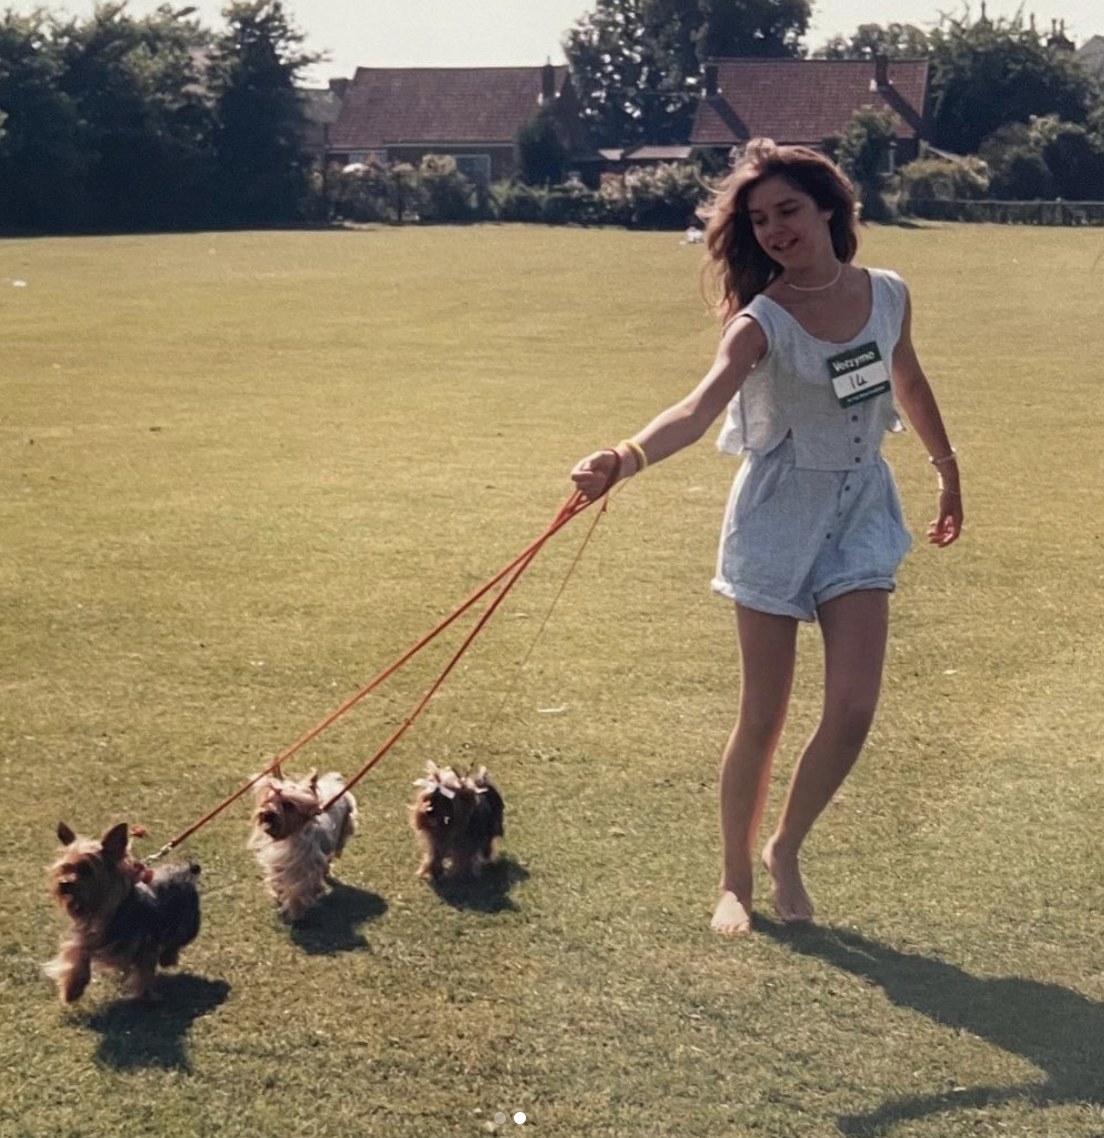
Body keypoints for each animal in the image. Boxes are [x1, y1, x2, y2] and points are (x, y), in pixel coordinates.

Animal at [45, 823, 202, 1001]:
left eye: (87, 869)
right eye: (64, 868)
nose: (64, 883)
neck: (105, 913)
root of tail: (185, 870)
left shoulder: (146, 944)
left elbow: (145, 971)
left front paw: (147, 996)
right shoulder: (85, 938)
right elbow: (77, 954)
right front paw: (71, 990)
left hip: (188, 920)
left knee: (177, 940)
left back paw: (168, 958)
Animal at [245, 764, 357, 924]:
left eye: (288, 805)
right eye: (269, 798)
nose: (267, 814)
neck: (290, 836)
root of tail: (335, 783)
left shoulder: (307, 868)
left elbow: (300, 891)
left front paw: (295, 912)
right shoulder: (279, 863)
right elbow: (278, 880)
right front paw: (278, 893)